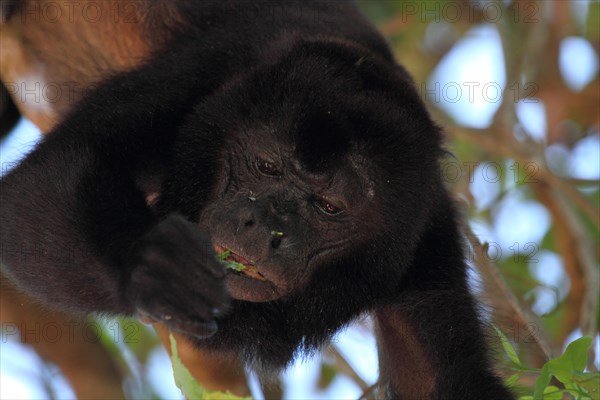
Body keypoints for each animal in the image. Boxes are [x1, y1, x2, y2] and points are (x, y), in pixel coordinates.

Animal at [1, 1, 516, 398]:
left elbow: (445, 383)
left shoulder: (423, 234)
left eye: (330, 207)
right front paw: (147, 267)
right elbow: (51, 177)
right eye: (267, 167)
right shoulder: (216, 66)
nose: (263, 227)